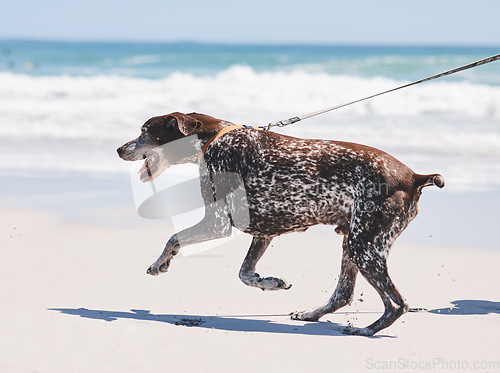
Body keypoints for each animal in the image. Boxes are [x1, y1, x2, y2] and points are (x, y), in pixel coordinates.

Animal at [118, 110, 446, 334]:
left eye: (145, 130)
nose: (120, 149)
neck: (214, 139)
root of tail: (414, 177)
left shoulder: (217, 223)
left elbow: (173, 237)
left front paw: (160, 261)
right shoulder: (264, 232)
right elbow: (245, 274)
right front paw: (270, 282)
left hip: (363, 246)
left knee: (397, 304)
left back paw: (365, 330)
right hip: (353, 242)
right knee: (343, 294)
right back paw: (312, 314)